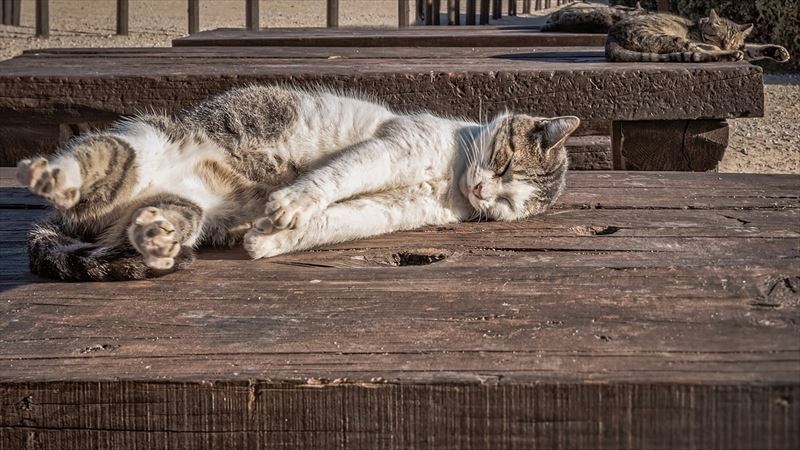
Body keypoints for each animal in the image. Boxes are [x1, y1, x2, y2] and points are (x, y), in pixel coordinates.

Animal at [15, 85, 580, 280]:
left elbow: (331, 222)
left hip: (177, 208)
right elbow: (333, 179)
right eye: (504, 166)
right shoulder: (393, 148)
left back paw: (156, 236)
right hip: (140, 141)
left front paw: (269, 239)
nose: (484, 193)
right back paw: (50, 174)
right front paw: (289, 204)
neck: (449, 179)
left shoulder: (391, 208)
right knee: (88, 162)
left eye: (508, 204)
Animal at [608, 8, 792, 62]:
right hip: (670, 38)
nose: (726, 46)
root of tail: (611, 37)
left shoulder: (744, 46)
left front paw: (778, 51)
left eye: (732, 41)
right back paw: (730, 54)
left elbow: (755, 48)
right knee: (698, 52)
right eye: (720, 38)